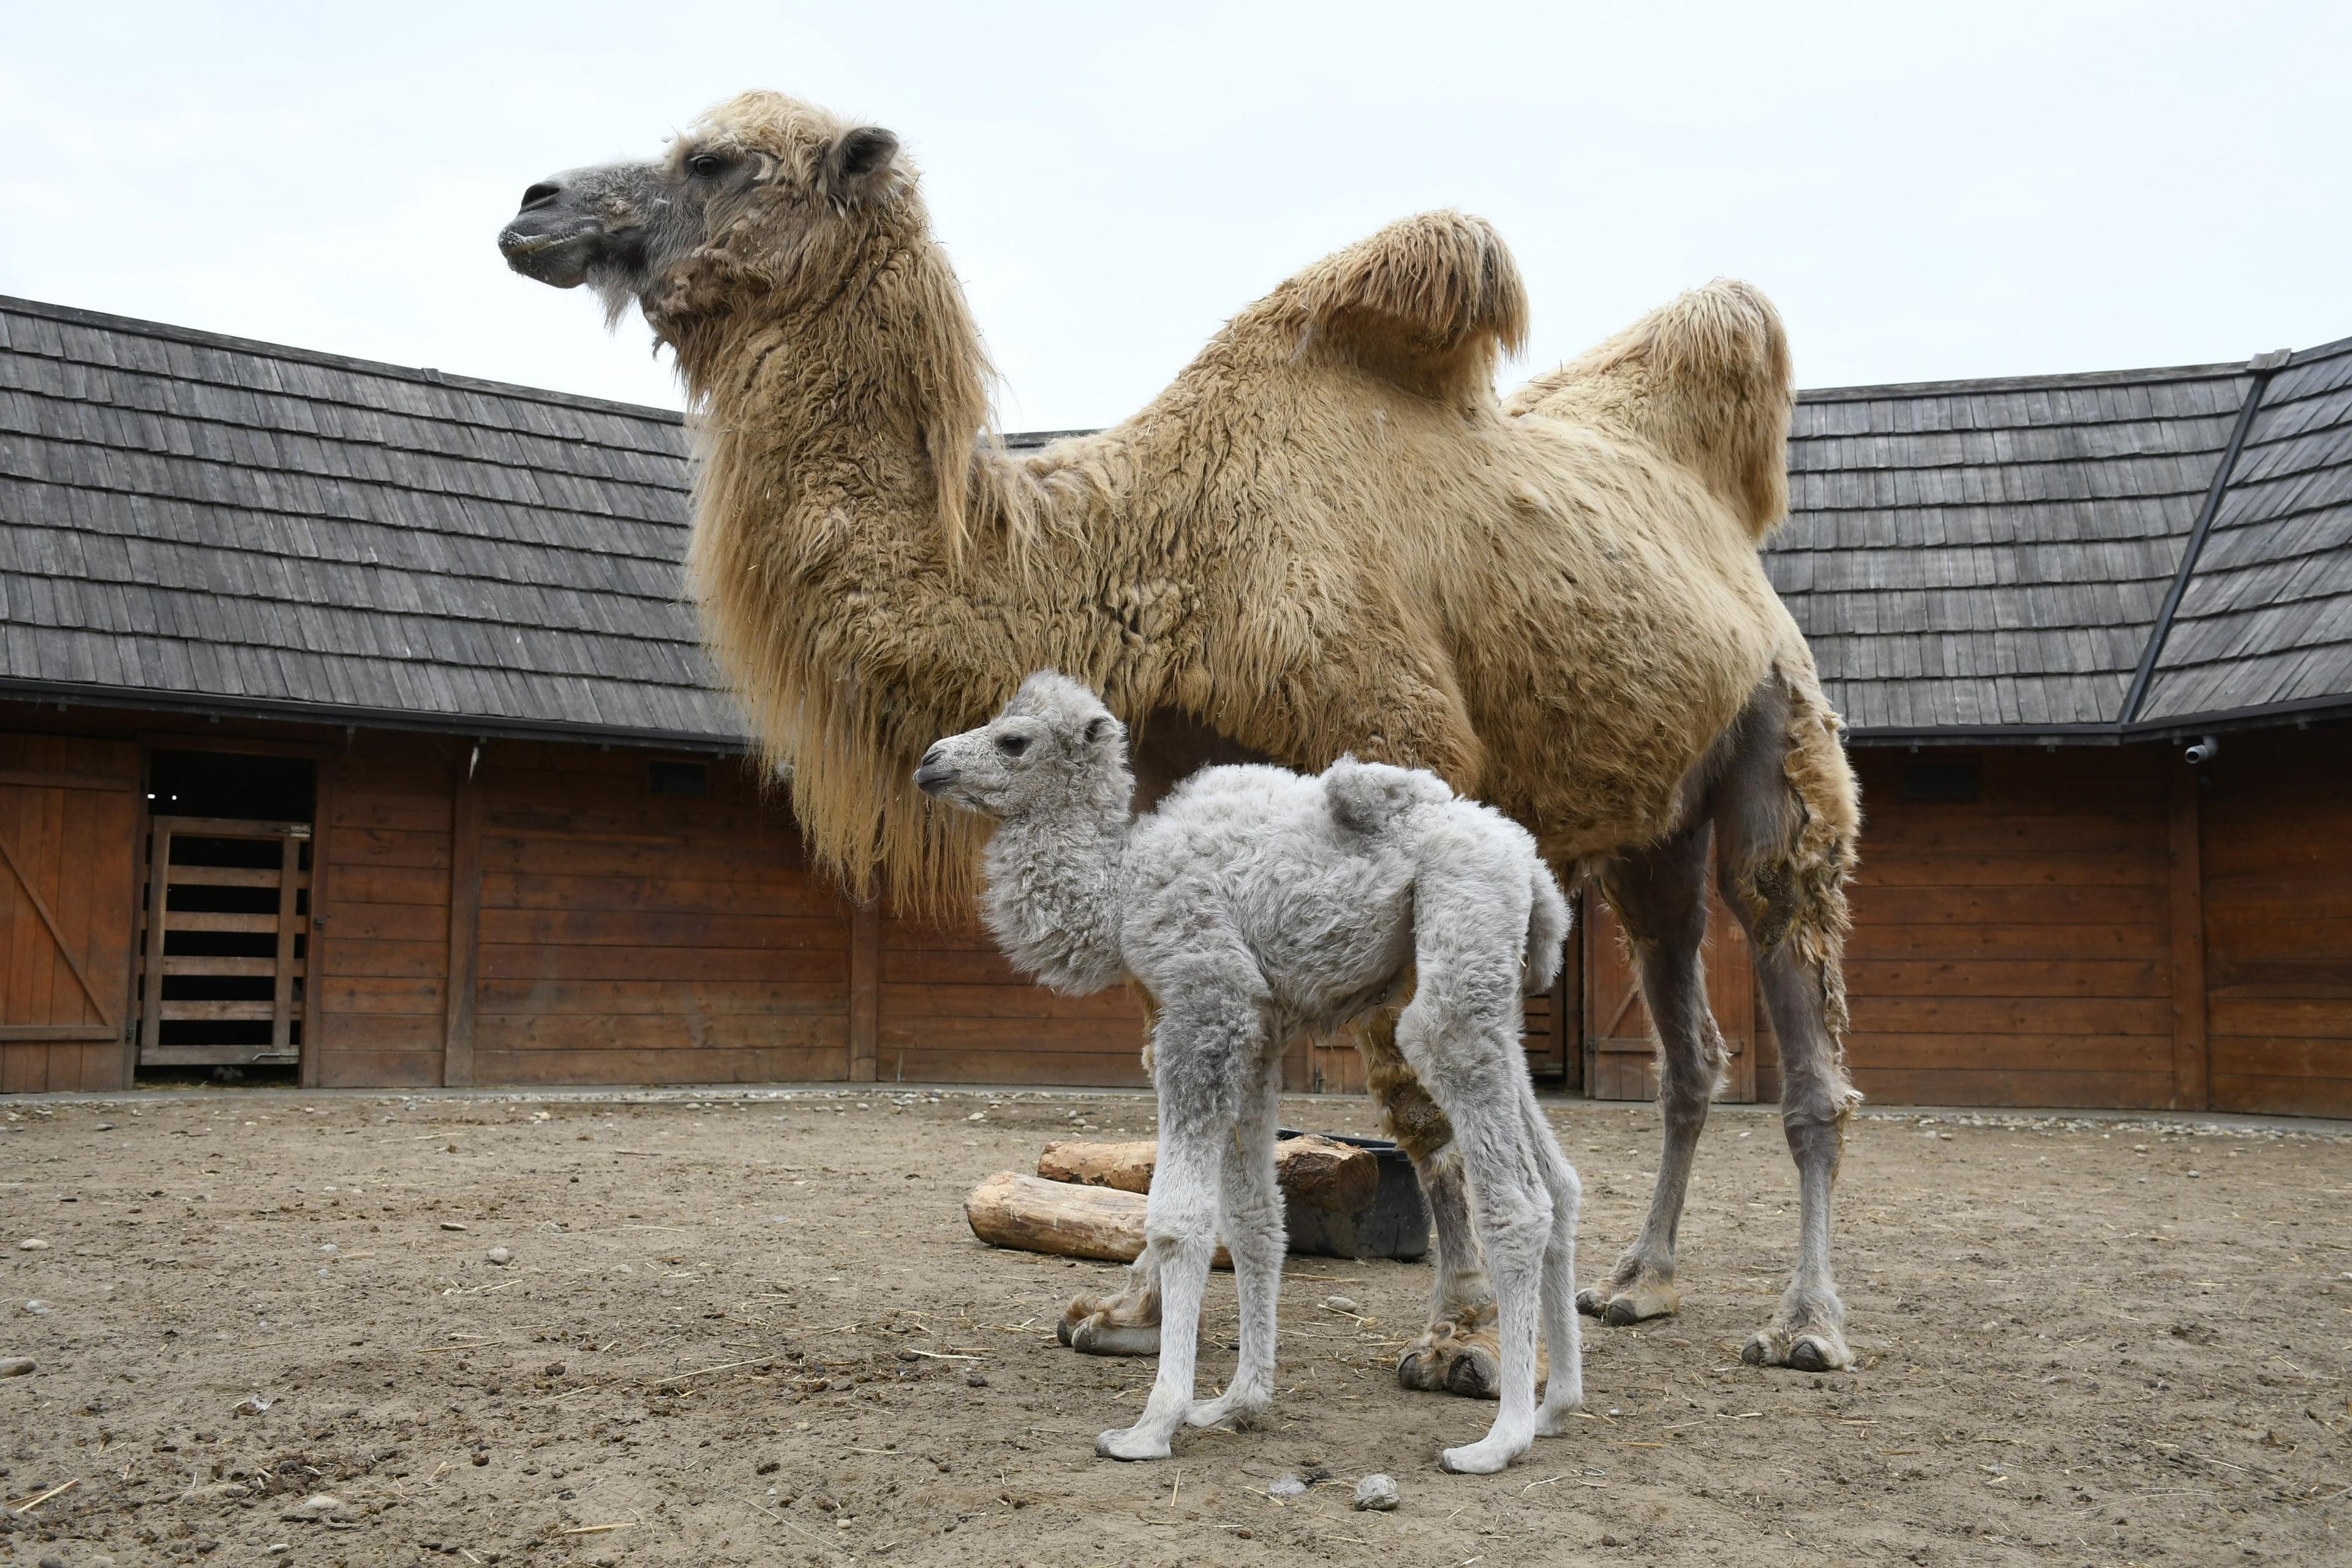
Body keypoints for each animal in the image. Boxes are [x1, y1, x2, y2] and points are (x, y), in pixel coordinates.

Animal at [917, 672, 1580, 1476]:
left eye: (1014, 740)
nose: (929, 762)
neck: (1123, 886)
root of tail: (1531, 867)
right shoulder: (1259, 1034)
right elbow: (1257, 1218)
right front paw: (1236, 1403)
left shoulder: (1205, 1006)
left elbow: (1181, 1220)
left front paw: (1152, 1424)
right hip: (1491, 989)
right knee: (1559, 1180)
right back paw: (1556, 1407)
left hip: (1457, 944)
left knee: (1516, 1195)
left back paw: (1499, 1438)